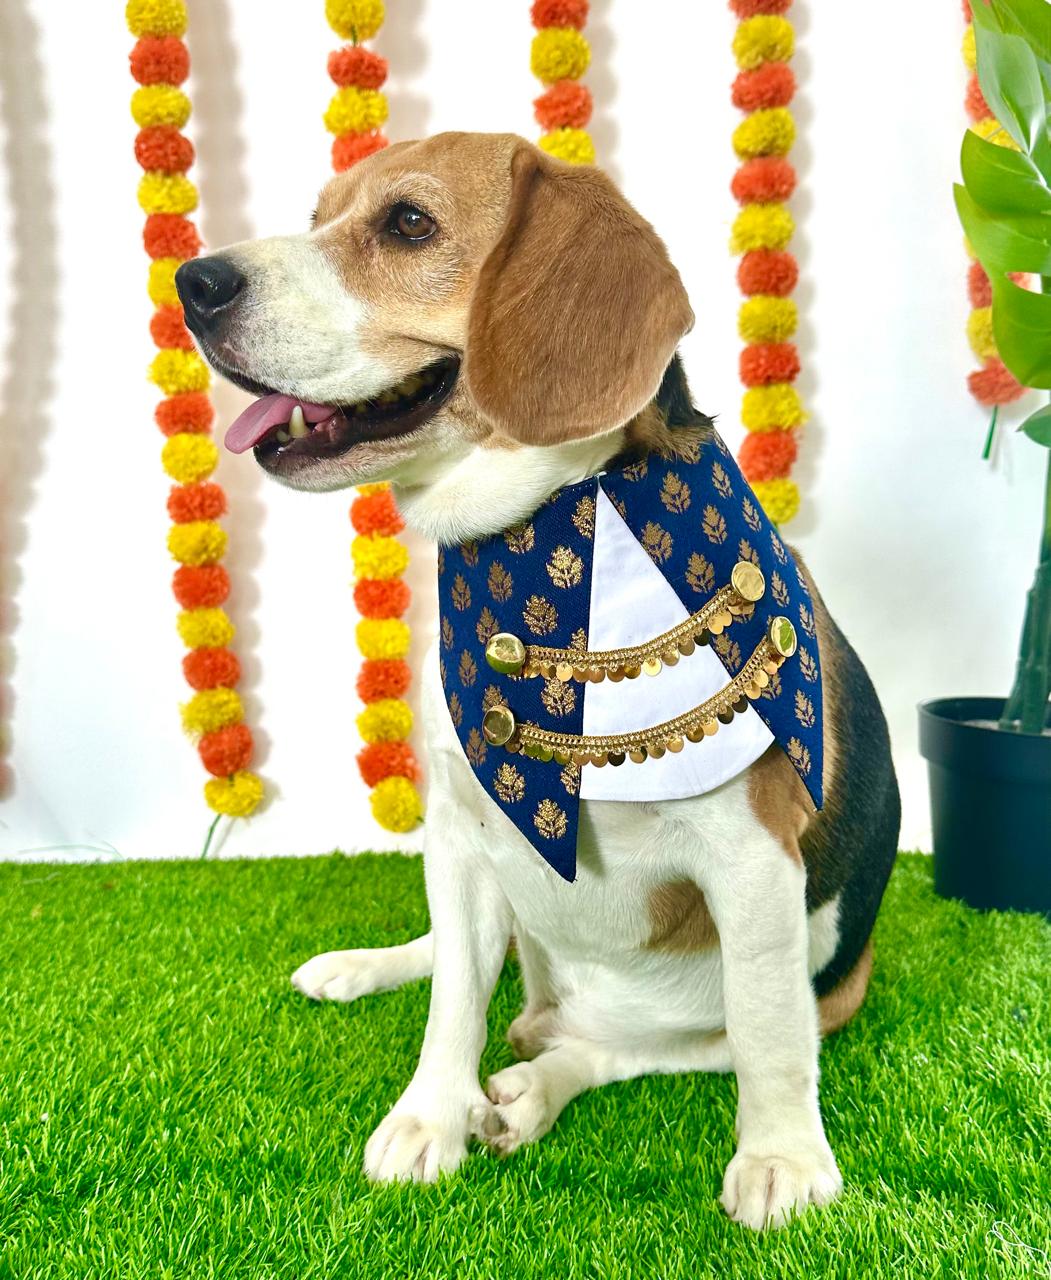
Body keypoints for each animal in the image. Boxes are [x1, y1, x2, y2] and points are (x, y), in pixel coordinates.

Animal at [176, 129, 896, 1228]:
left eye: (409, 224)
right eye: (318, 217)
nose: (192, 281)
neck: (546, 540)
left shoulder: (753, 860)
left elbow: (769, 1038)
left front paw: (781, 1156)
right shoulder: (464, 829)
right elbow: (451, 1005)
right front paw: (427, 1118)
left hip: (819, 993)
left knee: (642, 1048)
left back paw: (531, 1088)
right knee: (468, 967)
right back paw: (373, 977)